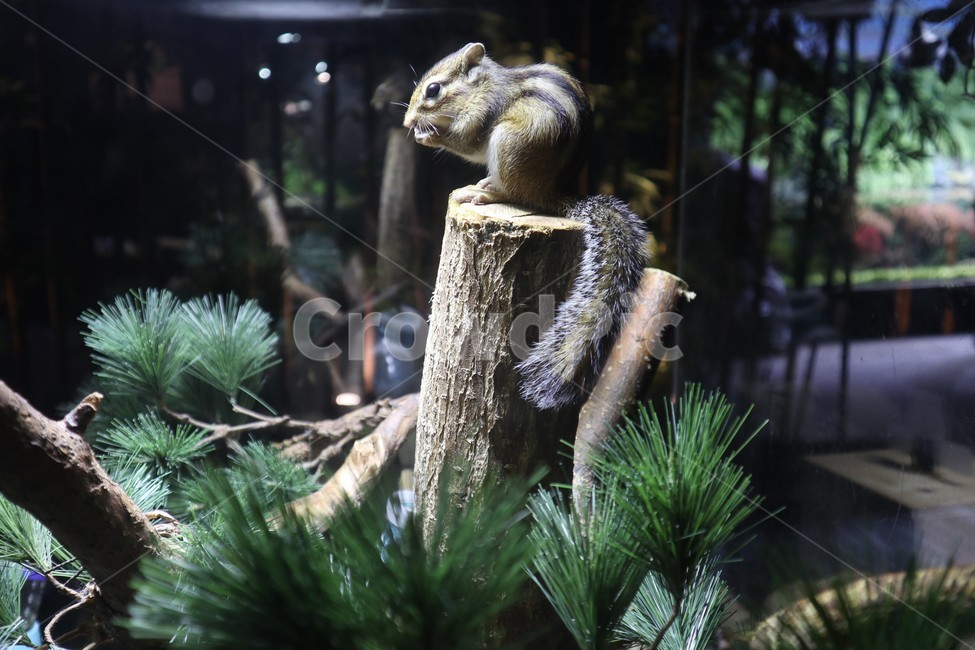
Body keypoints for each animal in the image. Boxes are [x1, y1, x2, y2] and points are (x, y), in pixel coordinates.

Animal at [403, 42, 649, 410]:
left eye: (433, 90)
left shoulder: (481, 115)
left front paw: (428, 136)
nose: (407, 121)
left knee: (516, 195)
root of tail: (551, 196)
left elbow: (466, 143)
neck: (481, 87)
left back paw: (484, 192)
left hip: (508, 145)